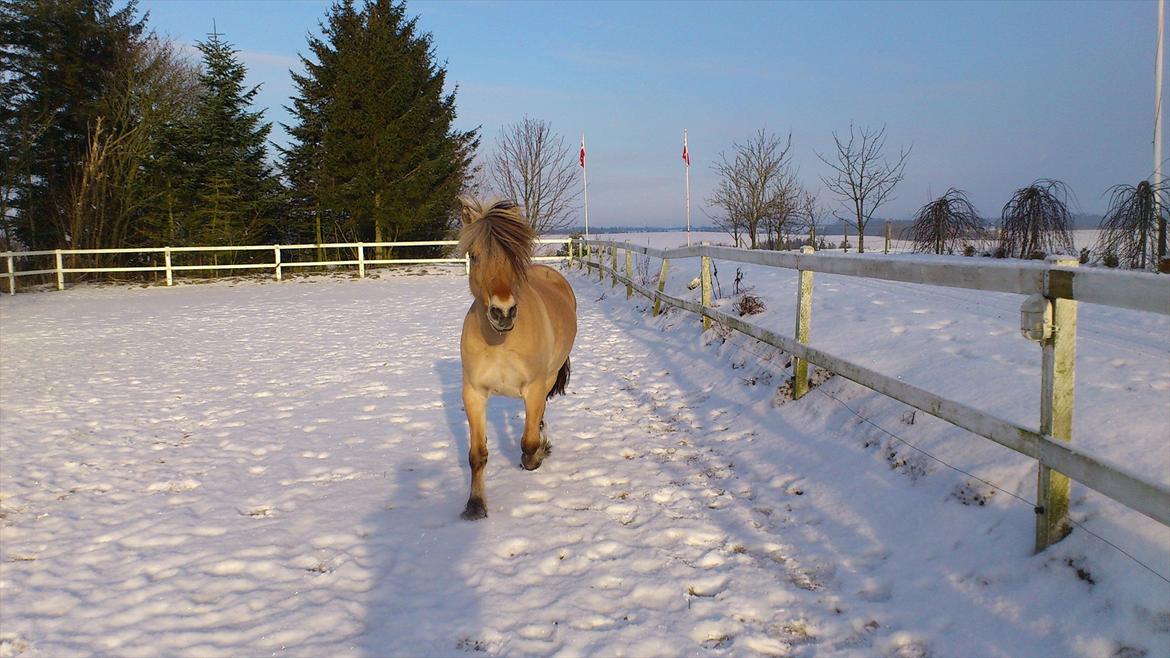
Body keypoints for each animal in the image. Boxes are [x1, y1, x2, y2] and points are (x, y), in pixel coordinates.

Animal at [456, 194, 575, 517]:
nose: (503, 312)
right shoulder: (474, 393)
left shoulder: (533, 388)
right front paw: (475, 504)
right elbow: (477, 454)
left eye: (512, 256)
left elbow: (528, 443)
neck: (500, 343)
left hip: (549, 377)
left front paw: (541, 451)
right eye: (474, 256)